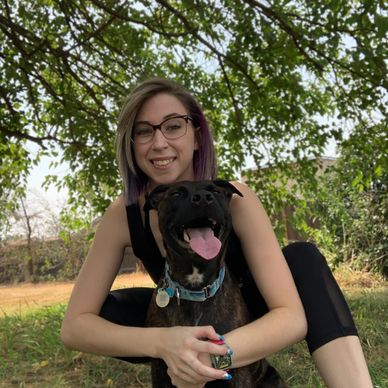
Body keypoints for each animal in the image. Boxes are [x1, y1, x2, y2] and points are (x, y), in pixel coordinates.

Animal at [144, 181, 286, 388]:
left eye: (216, 191)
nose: (203, 197)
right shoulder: (160, 366)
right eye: (176, 193)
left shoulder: (240, 373)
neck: (196, 287)